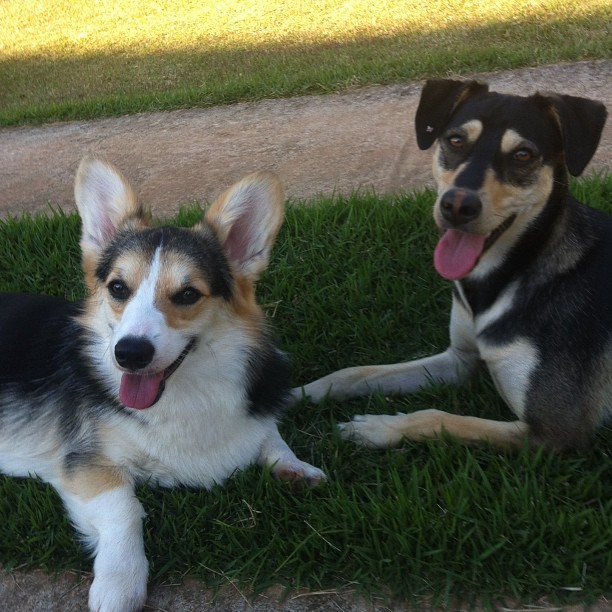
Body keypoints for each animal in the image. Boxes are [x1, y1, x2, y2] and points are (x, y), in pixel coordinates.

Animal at [0, 159, 326, 612]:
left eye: (188, 294)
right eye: (118, 288)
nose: (129, 354)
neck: (185, 395)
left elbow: (269, 434)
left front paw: (295, 467)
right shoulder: (85, 465)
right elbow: (126, 508)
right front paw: (119, 584)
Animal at [296, 79, 608, 452]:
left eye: (523, 155)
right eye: (456, 140)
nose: (457, 206)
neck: (508, 276)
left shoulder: (554, 431)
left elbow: (440, 418)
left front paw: (377, 428)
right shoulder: (459, 358)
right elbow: (359, 372)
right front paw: (299, 392)